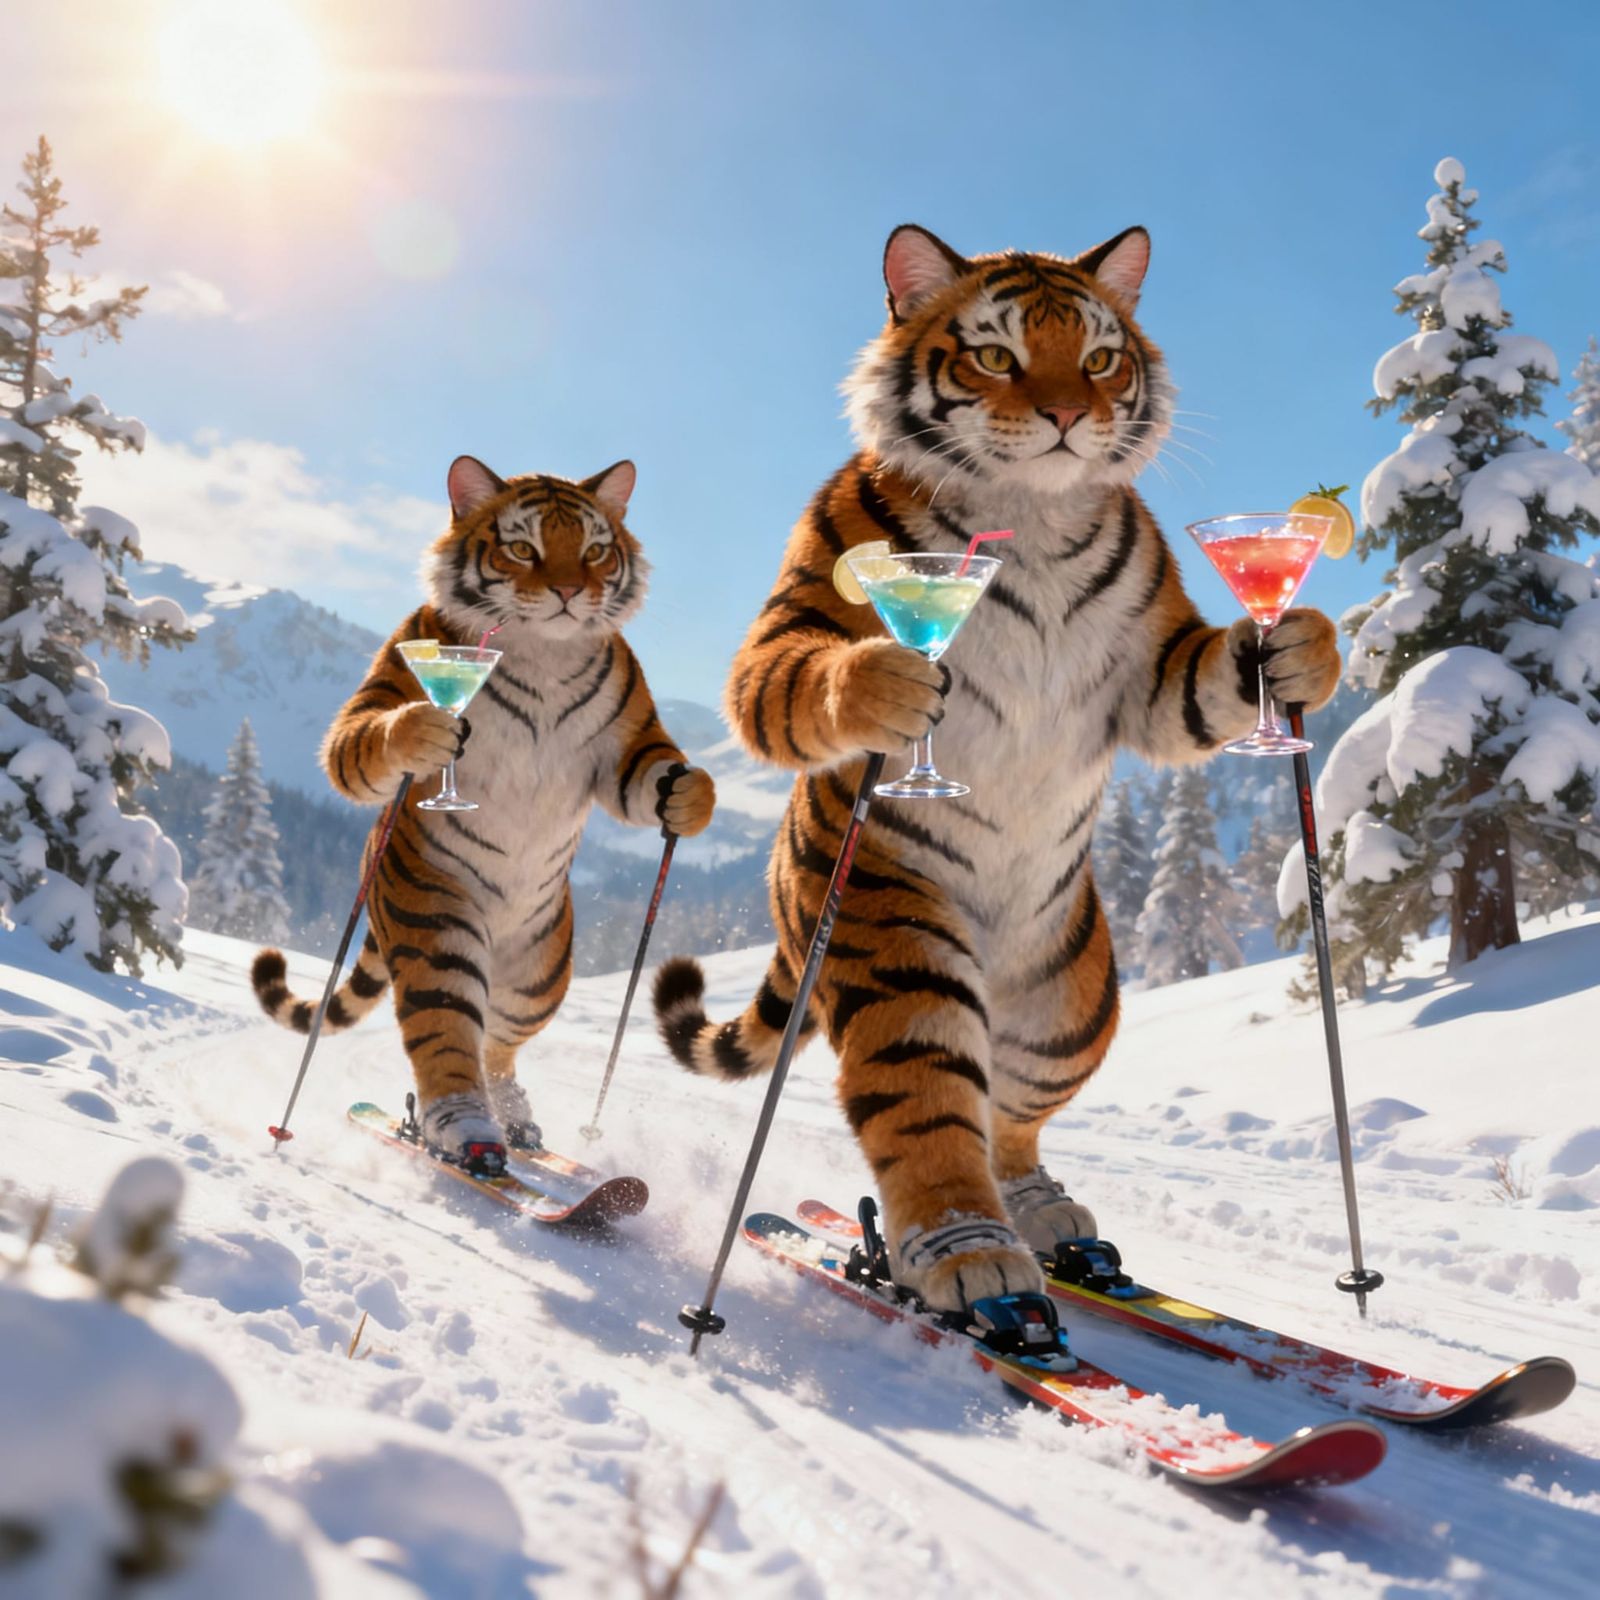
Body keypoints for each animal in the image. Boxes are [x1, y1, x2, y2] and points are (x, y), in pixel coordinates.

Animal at [252, 455, 715, 1169]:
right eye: (523, 548)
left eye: (595, 551)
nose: (568, 593)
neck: (545, 651)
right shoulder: (390, 679)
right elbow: (354, 745)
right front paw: (416, 733)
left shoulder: (626, 743)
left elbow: (645, 778)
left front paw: (691, 796)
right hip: (432, 916)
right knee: (449, 1026)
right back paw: (466, 1130)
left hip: (540, 974)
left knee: (499, 1042)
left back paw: (515, 1122)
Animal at [652, 224, 1340, 1312]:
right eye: (995, 355)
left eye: (1098, 359)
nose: (1067, 417)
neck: (1031, 517)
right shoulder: (794, 623)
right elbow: (784, 682)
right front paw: (879, 685)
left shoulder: (1148, 667)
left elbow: (1194, 689)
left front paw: (1299, 648)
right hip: (891, 932)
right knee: (933, 1093)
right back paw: (967, 1256)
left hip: (1072, 1005)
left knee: (1010, 1108)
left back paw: (1042, 1215)